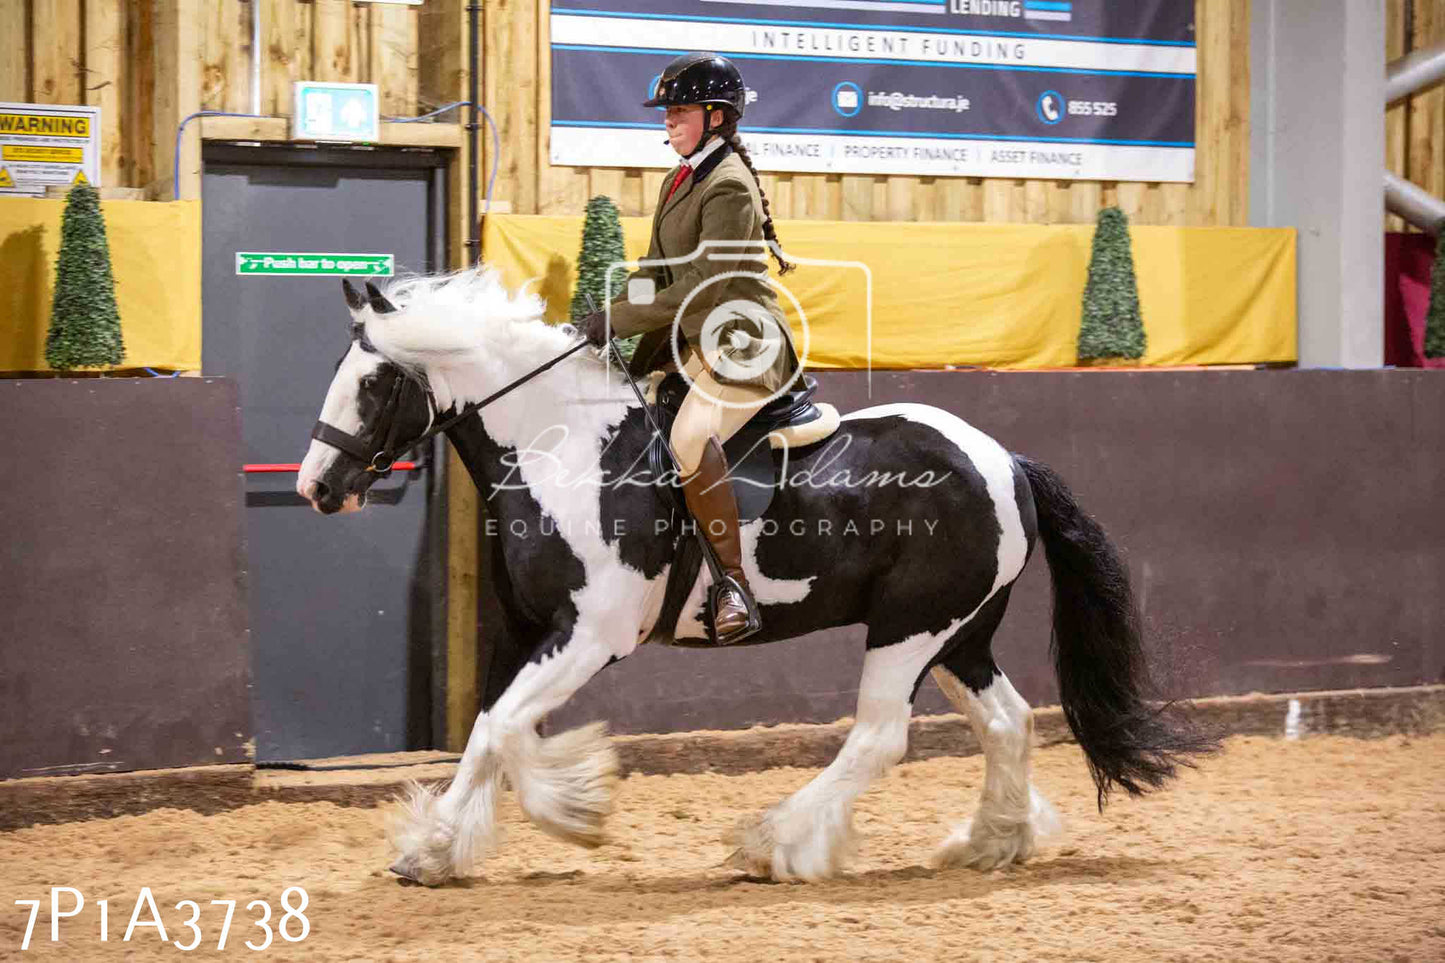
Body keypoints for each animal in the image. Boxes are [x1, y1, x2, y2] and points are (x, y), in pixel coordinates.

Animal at [299, 267, 1213, 884]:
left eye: (373, 383)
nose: (316, 488)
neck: (559, 447)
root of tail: (1006, 460)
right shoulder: (529, 628)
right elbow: (492, 727)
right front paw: (448, 843)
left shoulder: (590, 635)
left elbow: (502, 730)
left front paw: (560, 814)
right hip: (959, 633)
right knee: (1007, 722)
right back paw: (990, 839)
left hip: (909, 628)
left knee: (879, 735)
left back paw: (773, 841)